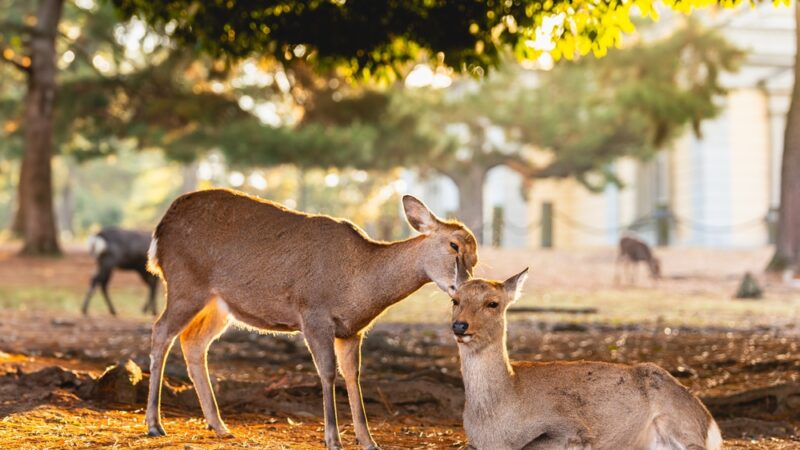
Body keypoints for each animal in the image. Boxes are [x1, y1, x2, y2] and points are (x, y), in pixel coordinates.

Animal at [146, 188, 478, 448]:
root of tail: (159, 231)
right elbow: (327, 372)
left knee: (193, 342)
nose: (465, 287)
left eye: (474, 256)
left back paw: (219, 425)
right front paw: (333, 439)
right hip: (185, 284)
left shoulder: (352, 330)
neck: (359, 288)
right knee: (160, 331)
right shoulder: (314, 314)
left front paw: (368, 440)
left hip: (219, 305)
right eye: (453, 245)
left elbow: (353, 375)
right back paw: (154, 424)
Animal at [450, 268, 724, 448]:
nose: (459, 326)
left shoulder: (571, 427)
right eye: (455, 300)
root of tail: (711, 423)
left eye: (493, 303)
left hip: (683, 425)